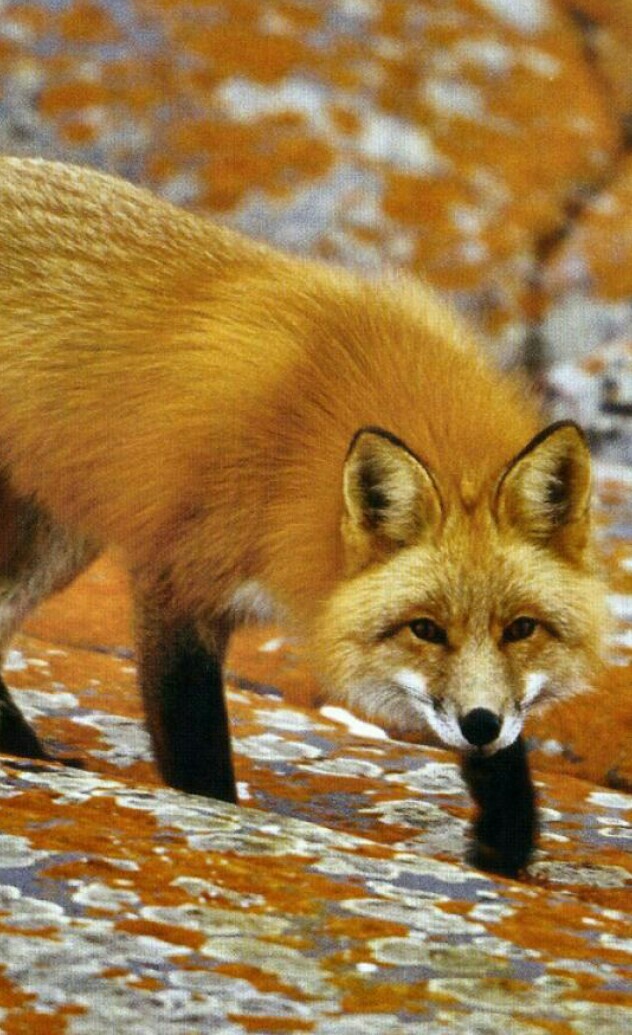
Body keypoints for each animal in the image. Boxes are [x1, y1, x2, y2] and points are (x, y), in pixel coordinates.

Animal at [0, 157, 605, 874]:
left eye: (522, 628)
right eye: (425, 629)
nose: (479, 724)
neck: (297, 434)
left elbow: (508, 752)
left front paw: (505, 838)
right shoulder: (178, 578)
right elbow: (197, 746)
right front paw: (220, 823)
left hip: (56, 543)